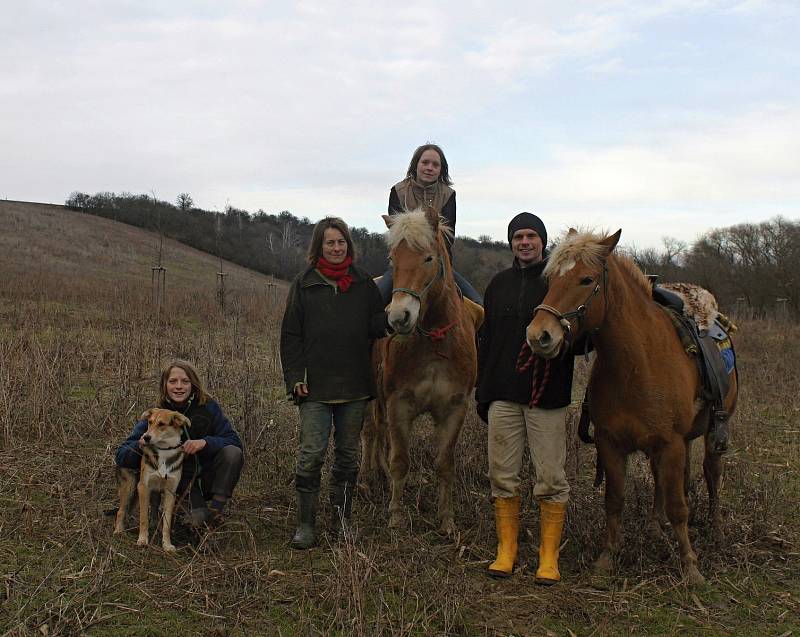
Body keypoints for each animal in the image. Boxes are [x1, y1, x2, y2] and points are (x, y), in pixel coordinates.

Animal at [114, 408, 191, 552]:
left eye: (161, 424)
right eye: (150, 422)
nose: (146, 437)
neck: (164, 451)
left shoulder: (170, 492)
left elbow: (167, 522)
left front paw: (167, 544)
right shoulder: (144, 487)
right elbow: (143, 517)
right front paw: (143, 540)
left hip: (151, 492)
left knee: (152, 510)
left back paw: (154, 526)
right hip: (131, 486)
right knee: (121, 510)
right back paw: (119, 530)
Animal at [364, 205, 478, 532]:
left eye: (428, 258)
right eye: (393, 259)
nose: (398, 317)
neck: (434, 339)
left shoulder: (454, 407)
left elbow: (445, 463)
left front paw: (447, 519)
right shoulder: (399, 403)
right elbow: (401, 459)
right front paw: (395, 515)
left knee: (380, 432)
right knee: (370, 432)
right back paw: (365, 481)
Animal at [524, 227, 736, 580]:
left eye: (586, 279)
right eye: (550, 279)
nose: (539, 335)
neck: (637, 362)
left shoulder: (670, 442)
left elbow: (679, 505)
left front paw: (690, 565)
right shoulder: (611, 443)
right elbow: (615, 499)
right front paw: (608, 557)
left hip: (711, 433)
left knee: (712, 473)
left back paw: (717, 529)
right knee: (662, 480)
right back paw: (656, 527)